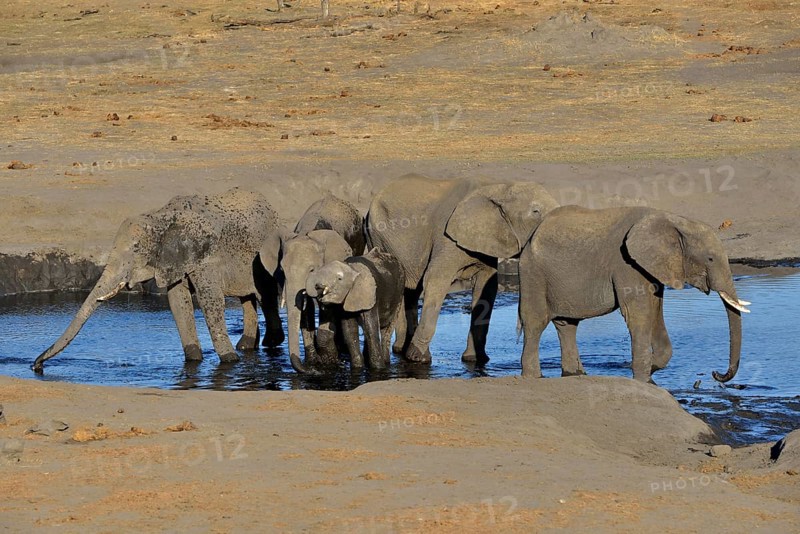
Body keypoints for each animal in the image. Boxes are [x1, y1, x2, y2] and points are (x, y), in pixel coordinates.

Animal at [32, 188, 285, 373]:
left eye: (135, 249)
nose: (37, 366)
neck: (160, 217)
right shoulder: (173, 260)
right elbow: (177, 301)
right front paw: (194, 360)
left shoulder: (205, 258)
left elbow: (210, 300)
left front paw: (230, 361)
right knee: (248, 298)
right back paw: (246, 346)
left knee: (265, 296)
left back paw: (270, 343)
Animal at [365, 174, 559, 364]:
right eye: (535, 211)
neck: (499, 187)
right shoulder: (446, 239)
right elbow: (436, 280)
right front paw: (418, 358)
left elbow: (486, 288)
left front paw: (475, 359)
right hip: (380, 238)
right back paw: (403, 350)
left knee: (412, 291)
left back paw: (401, 348)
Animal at [518, 206, 749, 383]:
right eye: (710, 259)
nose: (716, 374)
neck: (673, 219)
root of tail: (531, 236)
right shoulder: (626, 263)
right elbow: (639, 314)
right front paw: (641, 378)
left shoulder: (649, 268)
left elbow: (655, 310)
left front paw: (649, 369)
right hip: (533, 273)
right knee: (535, 323)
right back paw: (534, 377)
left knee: (567, 325)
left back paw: (575, 374)